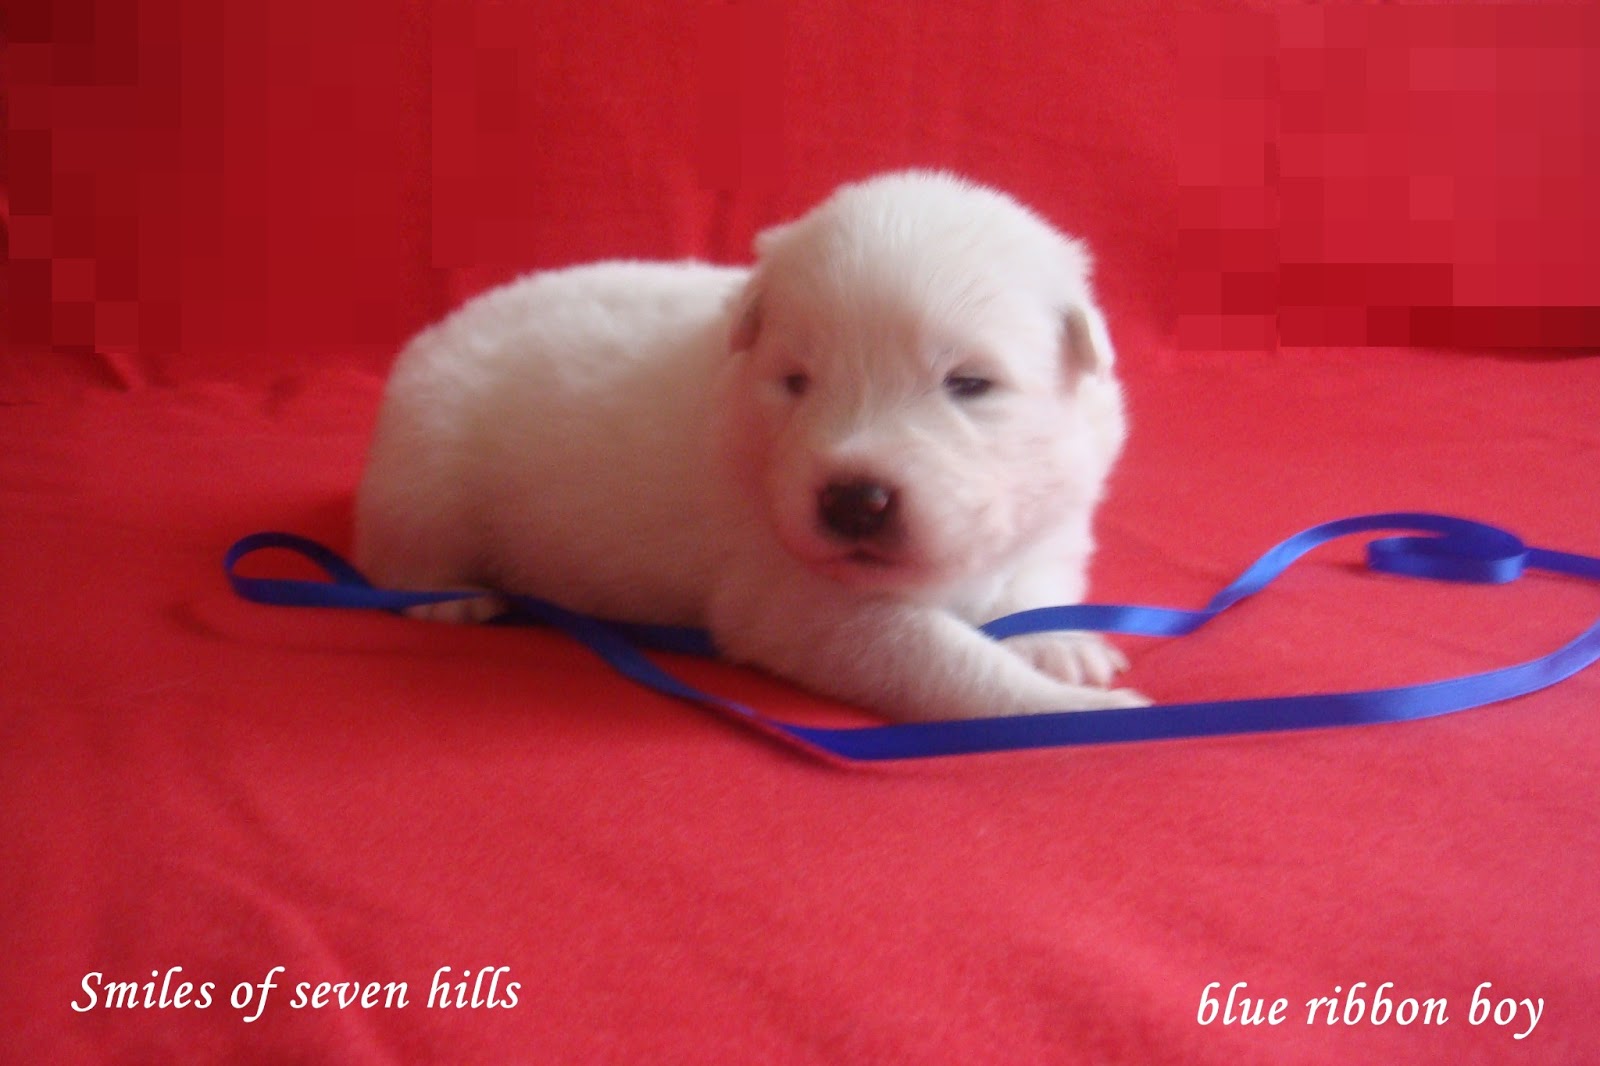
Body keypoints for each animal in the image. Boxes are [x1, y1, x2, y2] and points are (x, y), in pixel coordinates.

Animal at [354, 171, 1146, 721]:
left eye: (970, 383)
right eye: (796, 381)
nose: (854, 501)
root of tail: (434, 337)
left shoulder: (1052, 514)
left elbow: (1032, 584)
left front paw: (1063, 645)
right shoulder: (803, 601)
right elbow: (947, 662)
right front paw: (1077, 712)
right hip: (425, 474)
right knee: (399, 553)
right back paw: (448, 599)